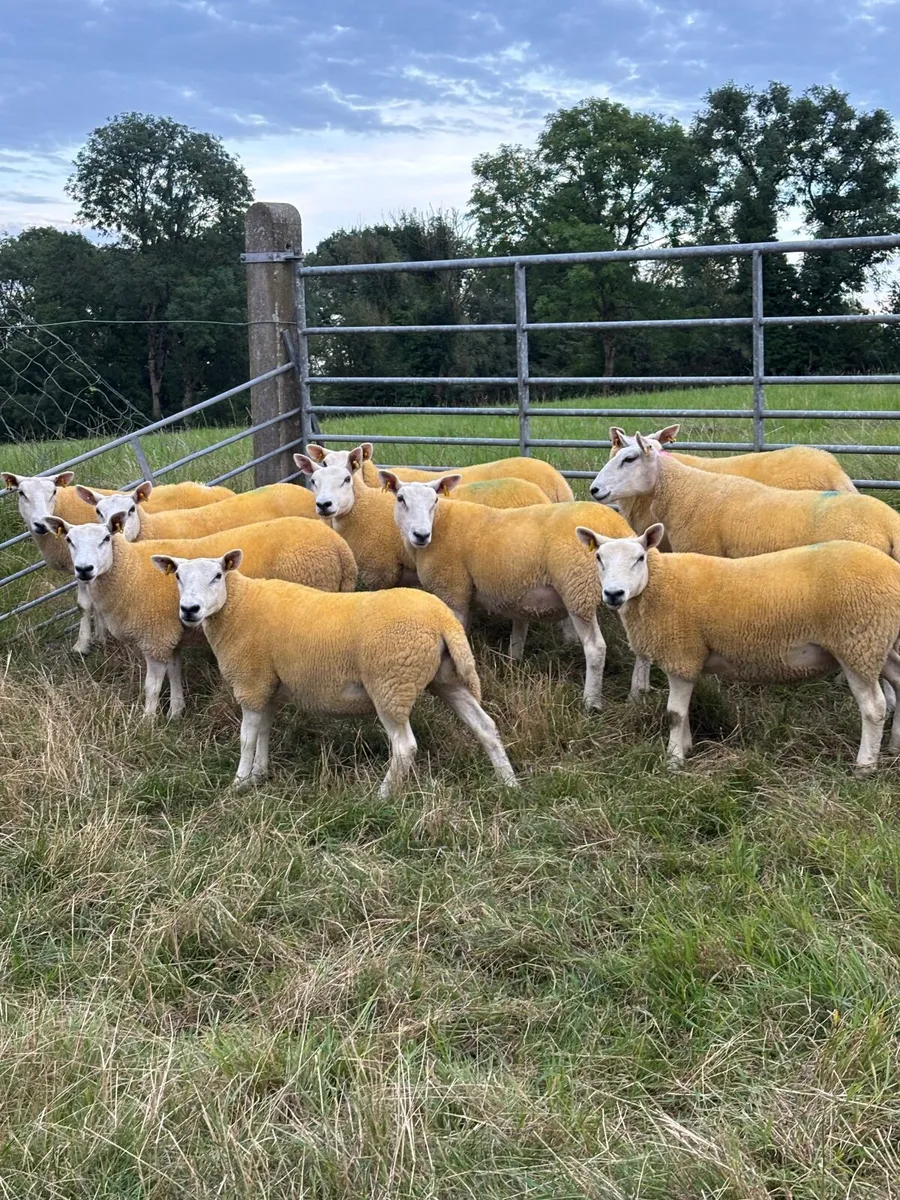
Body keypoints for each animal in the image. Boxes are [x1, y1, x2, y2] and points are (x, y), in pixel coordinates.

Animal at [1, 471, 235, 653]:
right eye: (21, 493)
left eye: (53, 492)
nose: (40, 524)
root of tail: (214, 488)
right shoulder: (87, 569)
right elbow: (89, 604)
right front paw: (99, 637)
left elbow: (86, 605)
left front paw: (84, 644)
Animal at [43, 514, 356, 718]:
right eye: (69, 540)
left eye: (106, 538)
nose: (84, 570)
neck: (130, 572)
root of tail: (341, 548)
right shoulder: (169, 636)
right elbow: (175, 672)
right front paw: (176, 711)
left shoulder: (154, 636)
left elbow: (151, 687)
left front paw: (147, 723)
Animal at [152, 550, 518, 796]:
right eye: (178, 577)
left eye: (217, 576)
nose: (189, 610)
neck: (239, 607)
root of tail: (442, 621)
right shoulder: (267, 685)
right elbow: (264, 731)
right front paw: (258, 775)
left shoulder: (251, 682)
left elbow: (246, 737)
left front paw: (239, 783)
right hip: (447, 679)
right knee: (485, 727)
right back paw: (509, 782)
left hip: (390, 685)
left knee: (405, 747)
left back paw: (383, 796)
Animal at [380, 471, 635, 709]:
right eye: (401, 498)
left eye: (434, 500)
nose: (421, 534)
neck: (440, 524)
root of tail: (616, 525)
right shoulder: (466, 594)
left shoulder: (454, 591)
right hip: (619, 592)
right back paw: (636, 696)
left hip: (578, 590)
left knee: (595, 648)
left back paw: (591, 702)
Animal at [574, 521, 900, 773]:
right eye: (599, 558)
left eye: (640, 558)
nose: (614, 594)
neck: (658, 585)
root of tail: (892, 570)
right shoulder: (689, 657)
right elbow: (684, 710)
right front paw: (686, 746)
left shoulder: (681, 653)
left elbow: (674, 713)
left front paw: (674, 761)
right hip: (881, 644)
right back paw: (895, 746)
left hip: (858, 643)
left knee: (874, 707)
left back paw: (865, 766)